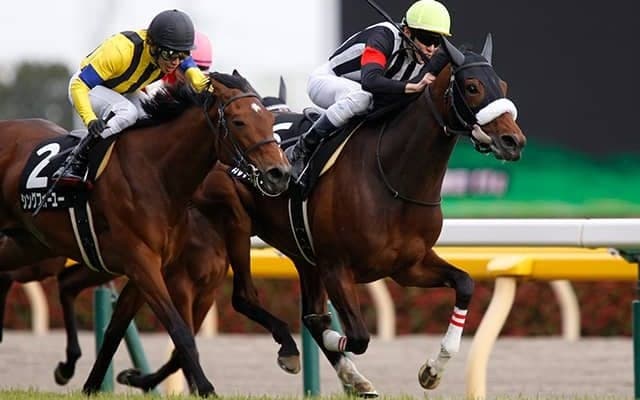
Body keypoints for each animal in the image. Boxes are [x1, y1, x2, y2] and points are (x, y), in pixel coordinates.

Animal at [0, 71, 290, 396]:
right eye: (239, 122)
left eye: (268, 119)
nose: (280, 173)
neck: (156, 173)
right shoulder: (148, 266)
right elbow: (181, 332)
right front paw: (205, 388)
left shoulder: (156, 270)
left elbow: (115, 332)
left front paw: (93, 386)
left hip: (32, 244)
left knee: (28, 277)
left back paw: (65, 365)